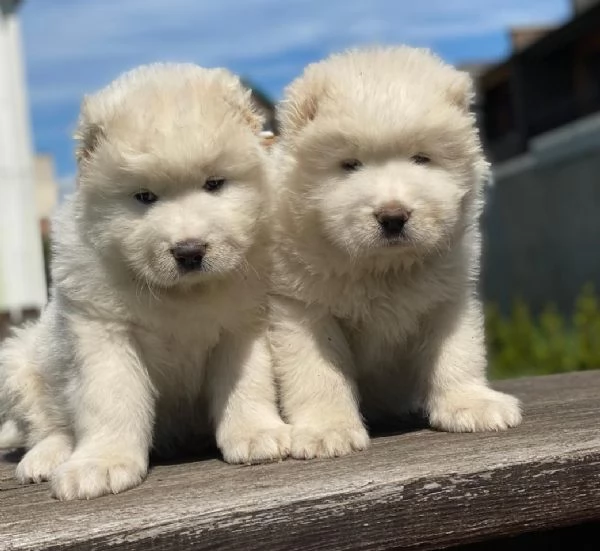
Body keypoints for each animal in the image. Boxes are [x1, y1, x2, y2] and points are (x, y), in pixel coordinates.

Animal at [0, 63, 290, 500]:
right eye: (144, 197)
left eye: (214, 184)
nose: (189, 251)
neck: (182, 295)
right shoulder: (104, 332)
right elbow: (111, 398)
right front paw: (99, 465)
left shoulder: (242, 326)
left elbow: (246, 383)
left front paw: (257, 433)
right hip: (23, 363)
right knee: (47, 426)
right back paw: (44, 459)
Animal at [270, 48, 524, 462]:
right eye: (350, 164)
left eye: (421, 158)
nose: (393, 216)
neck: (382, 269)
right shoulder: (302, 307)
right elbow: (318, 372)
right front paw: (326, 432)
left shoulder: (448, 296)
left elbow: (457, 352)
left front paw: (473, 405)